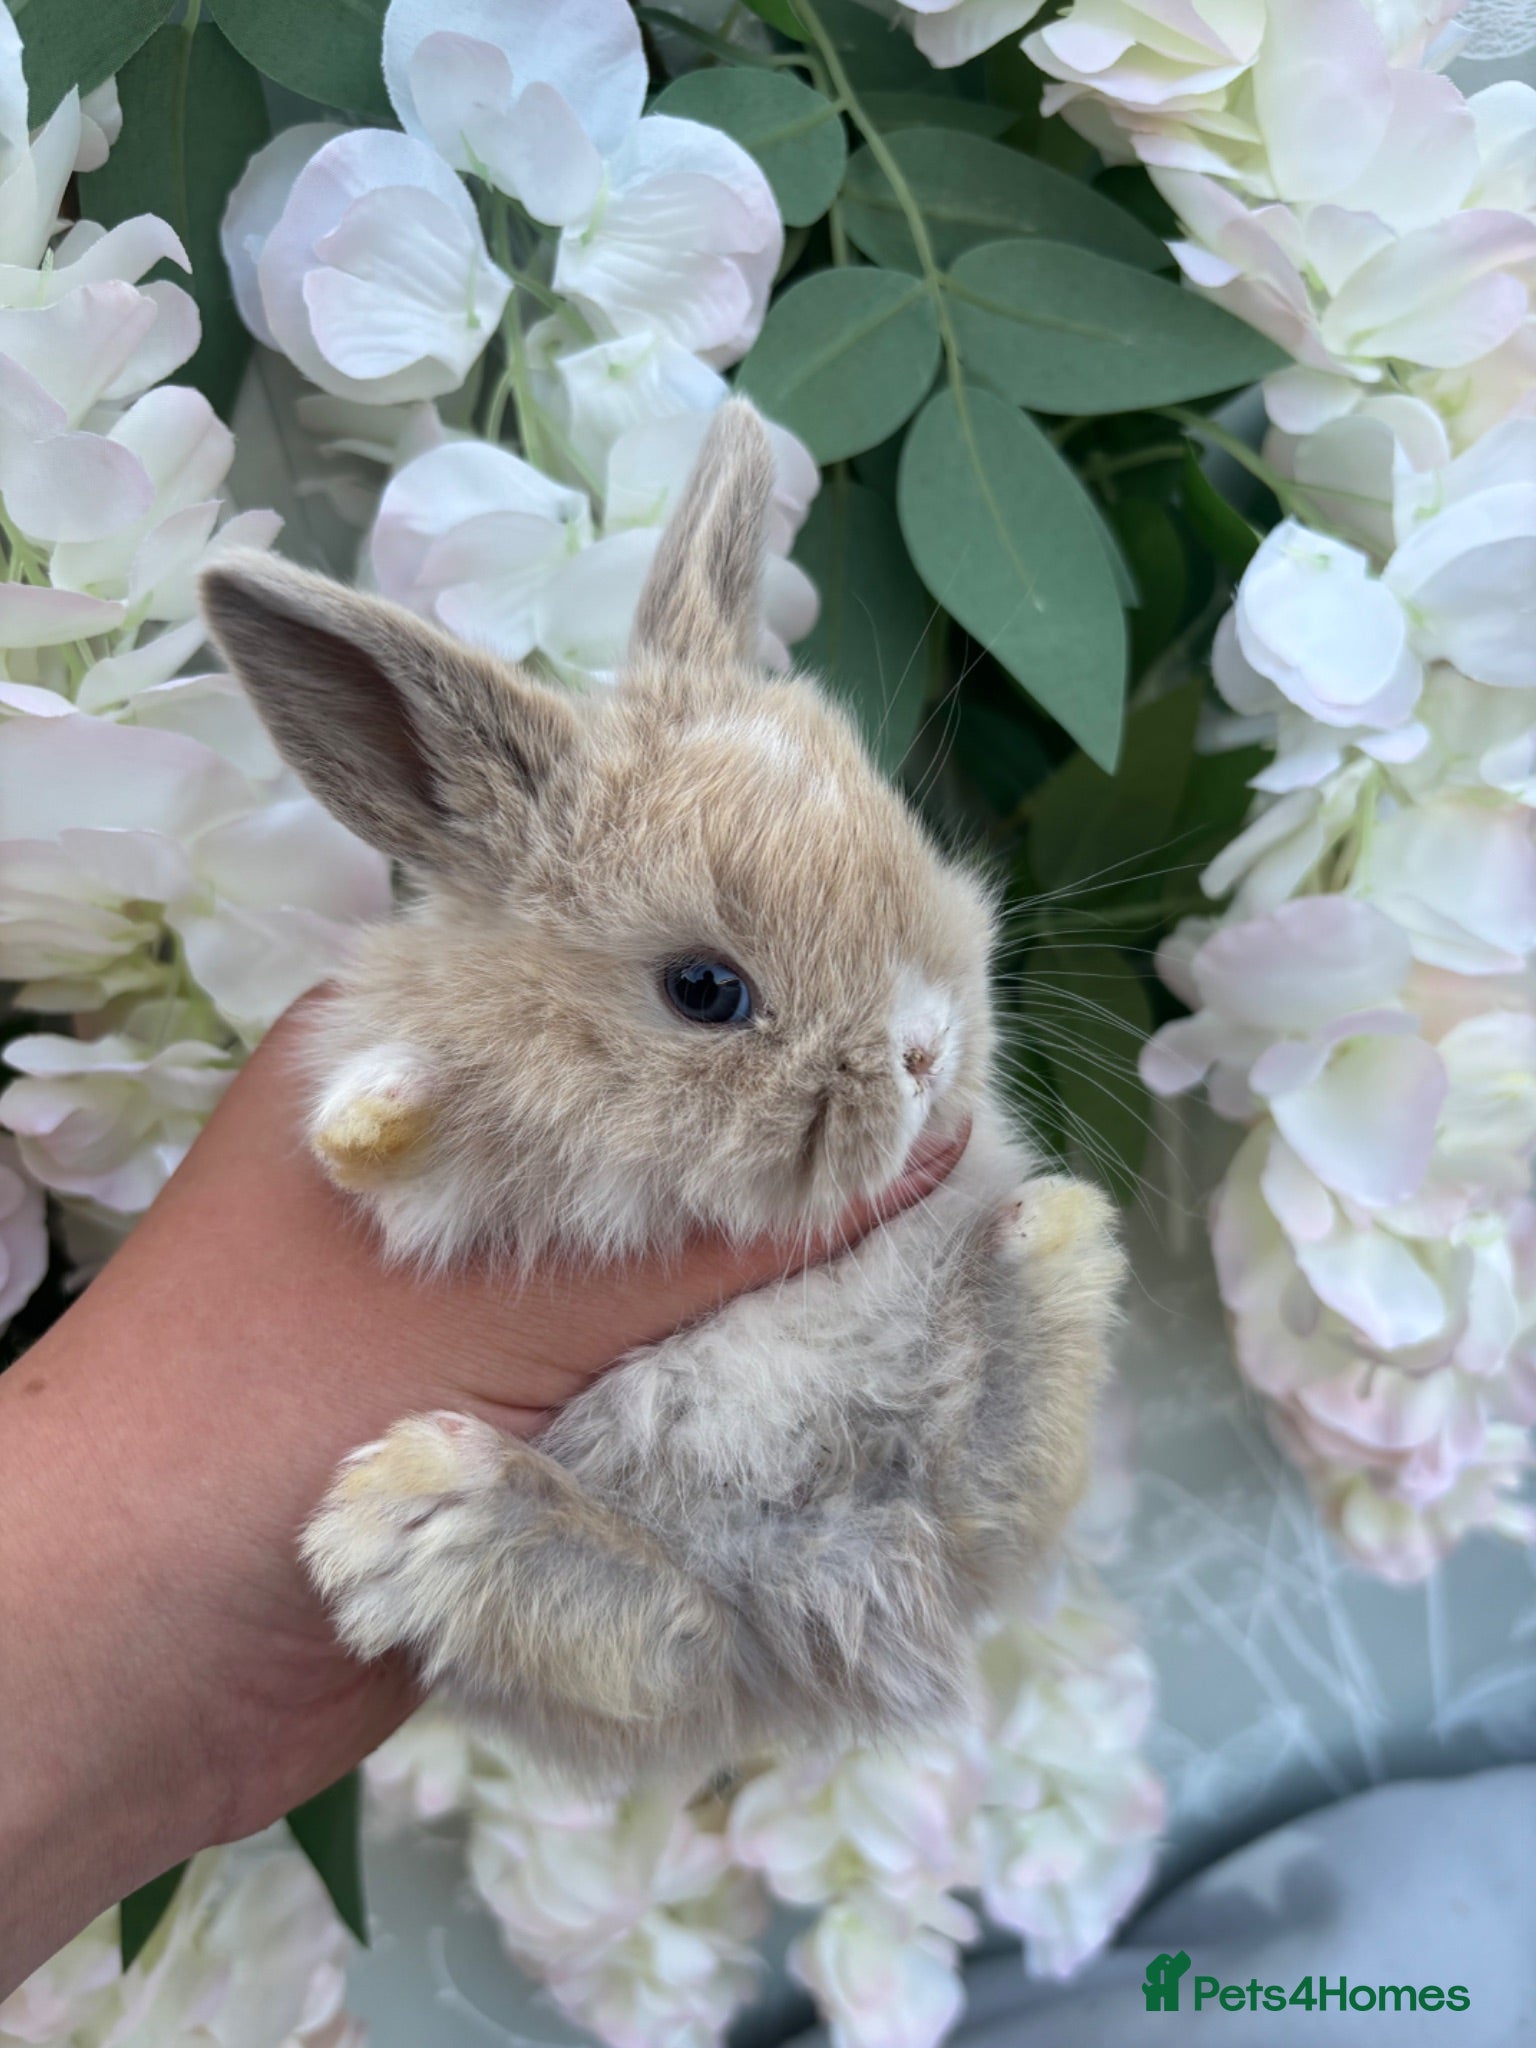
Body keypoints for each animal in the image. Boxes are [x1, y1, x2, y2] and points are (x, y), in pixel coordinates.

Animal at [199, 400, 1125, 1787]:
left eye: (902, 836)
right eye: (705, 988)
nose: (923, 1048)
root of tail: (849, 1593)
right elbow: (403, 1123)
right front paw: (374, 1111)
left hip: (922, 1483)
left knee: (968, 1490)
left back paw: (1038, 1246)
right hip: (680, 1601)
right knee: (668, 1627)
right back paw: (428, 1513)